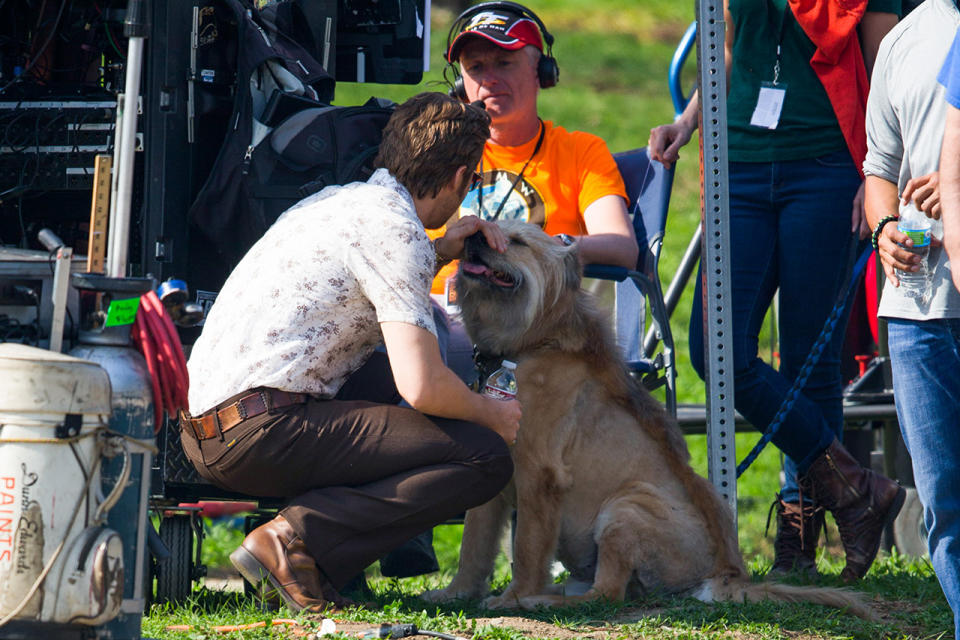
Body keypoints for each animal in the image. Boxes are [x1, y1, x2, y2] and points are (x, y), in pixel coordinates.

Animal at [424, 221, 872, 620]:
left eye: (516, 241)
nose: (474, 238)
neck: (535, 339)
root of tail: (727, 575)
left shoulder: (540, 476)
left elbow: (528, 549)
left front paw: (514, 597)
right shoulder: (496, 481)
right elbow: (473, 545)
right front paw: (456, 594)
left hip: (626, 509)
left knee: (606, 594)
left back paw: (541, 601)